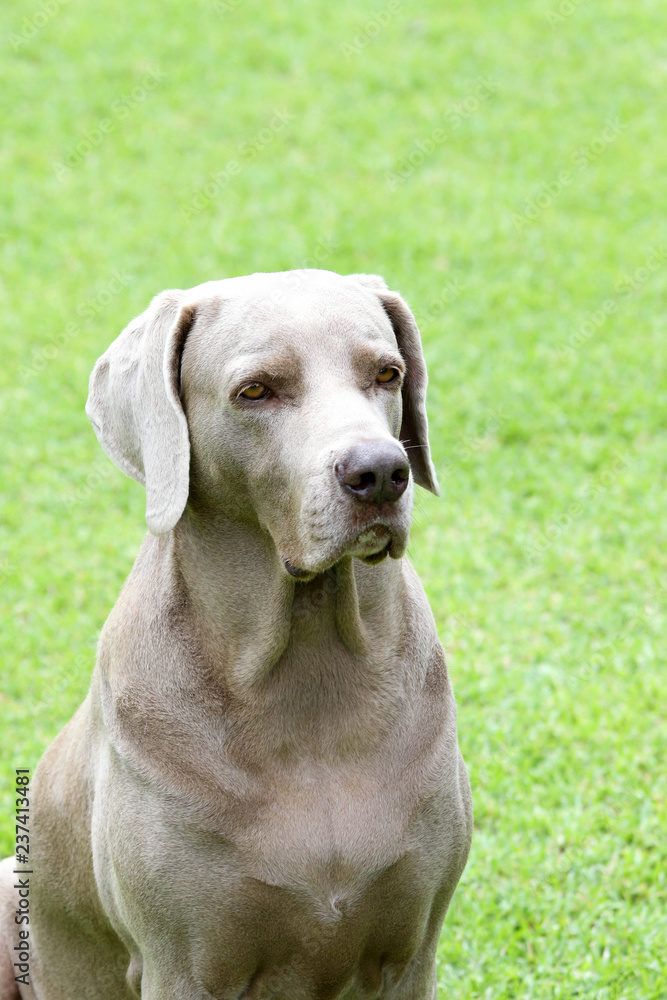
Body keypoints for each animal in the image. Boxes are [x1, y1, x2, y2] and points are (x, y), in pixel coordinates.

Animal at [1, 270, 472, 1000]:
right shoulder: (182, 962)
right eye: (255, 390)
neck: (306, 674)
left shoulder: (412, 949)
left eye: (387, 373)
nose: (379, 473)